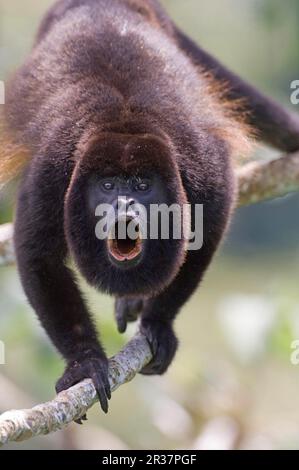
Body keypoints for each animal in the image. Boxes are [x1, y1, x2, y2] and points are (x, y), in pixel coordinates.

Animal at [0, 0, 299, 414]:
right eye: (108, 185)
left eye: (142, 184)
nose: (124, 204)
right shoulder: (51, 171)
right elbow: (39, 256)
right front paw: (84, 363)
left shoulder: (200, 164)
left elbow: (206, 235)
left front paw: (158, 323)